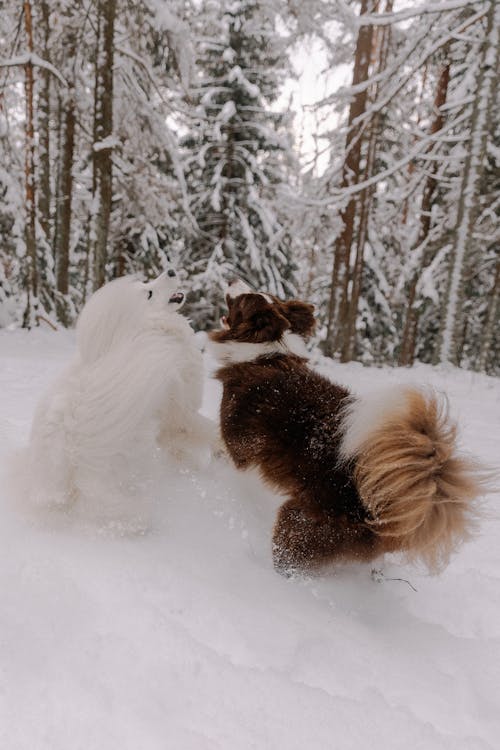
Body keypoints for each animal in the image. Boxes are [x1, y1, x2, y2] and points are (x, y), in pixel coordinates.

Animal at [25, 270, 214, 528]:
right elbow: (212, 431)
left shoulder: (171, 425)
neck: (147, 328)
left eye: (147, 283)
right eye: (149, 292)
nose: (171, 271)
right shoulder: (181, 414)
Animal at [209, 280, 482, 580]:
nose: (233, 281)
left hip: (298, 522)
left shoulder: (239, 445)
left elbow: (218, 447)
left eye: (244, 300)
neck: (267, 352)